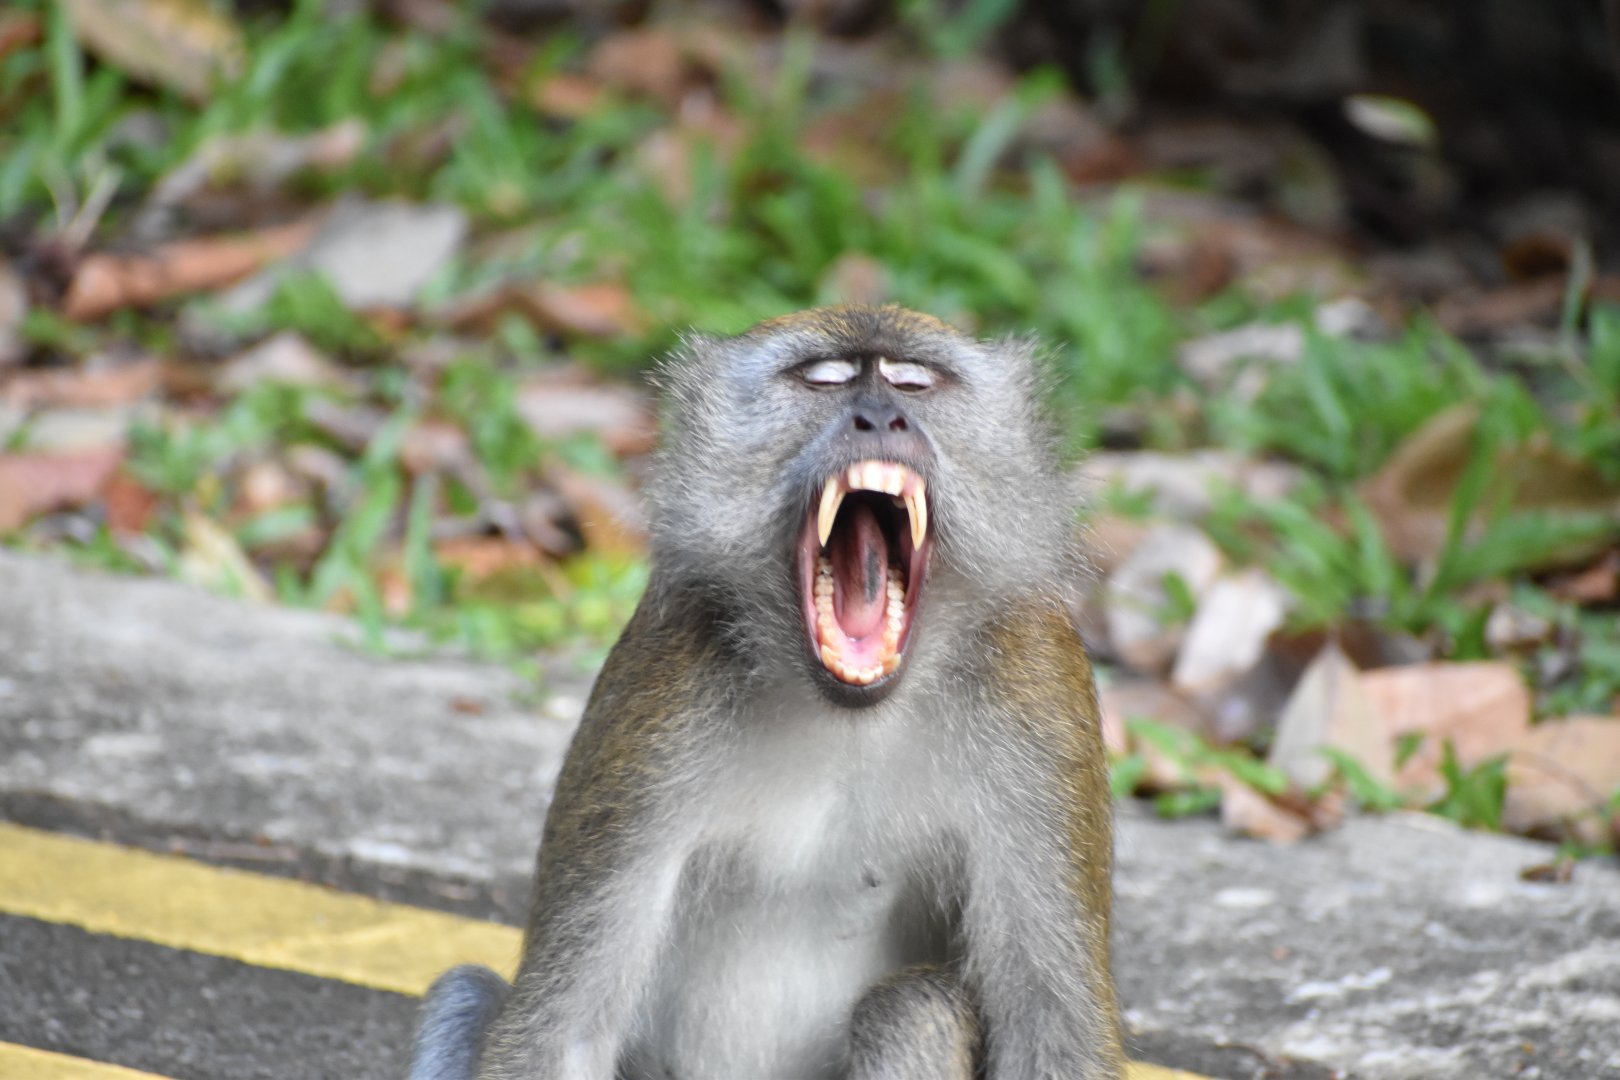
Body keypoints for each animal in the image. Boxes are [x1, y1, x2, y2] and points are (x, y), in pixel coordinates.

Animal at [407, 304, 1123, 1080]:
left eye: (913, 381)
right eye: (825, 378)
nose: (881, 416)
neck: (849, 715)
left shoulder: (1039, 699)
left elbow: (1052, 1034)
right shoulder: (660, 697)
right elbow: (558, 1031)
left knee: (909, 1007)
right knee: (466, 991)